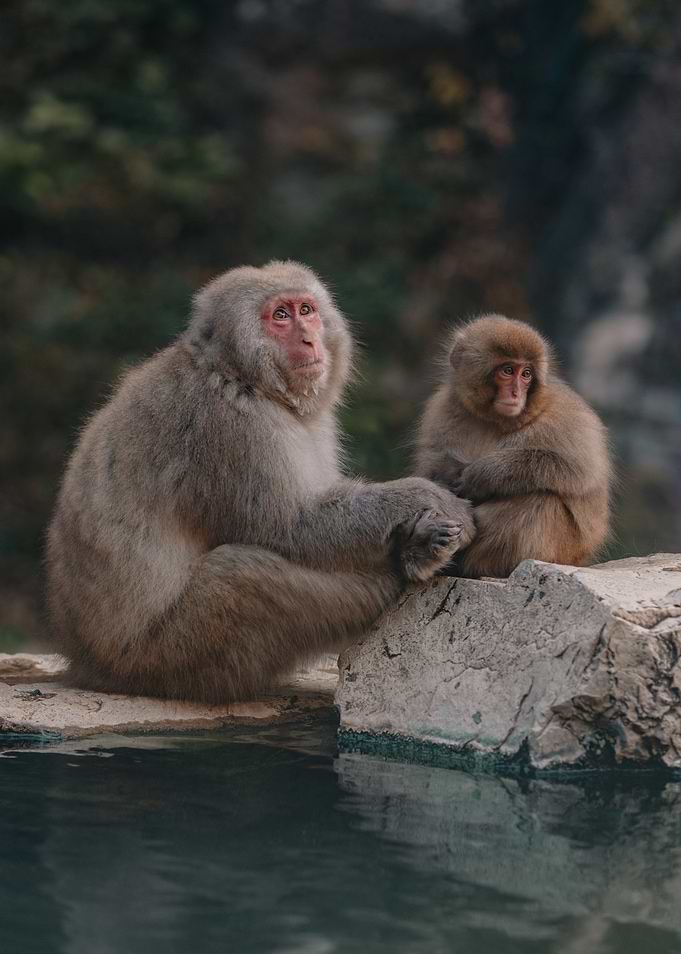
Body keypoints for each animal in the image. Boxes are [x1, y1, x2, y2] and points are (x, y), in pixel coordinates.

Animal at [46, 261, 475, 703]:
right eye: (280, 316)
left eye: (306, 310)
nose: (309, 339)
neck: (242, 378)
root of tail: (86, 664)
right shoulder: (231, 427)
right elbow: (290, 525)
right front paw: (428, 499)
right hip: (167, 657)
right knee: (244, 572)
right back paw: (404, 564)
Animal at [414, 315, 611, 578]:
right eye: (508, 371)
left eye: (526, 374)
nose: (517, 393)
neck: (493, 420)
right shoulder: (442, 408)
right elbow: (432, 472)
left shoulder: (566, 414)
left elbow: (579, 470)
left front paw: (480, 476)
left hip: (567, 551)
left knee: (539, 500)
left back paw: (478, 567)